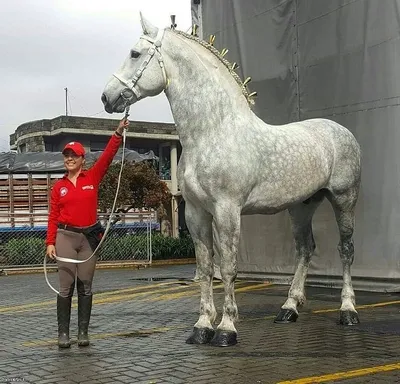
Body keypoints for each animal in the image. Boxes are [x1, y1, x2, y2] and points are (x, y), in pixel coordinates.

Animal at [101, 14, 362, 348]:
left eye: (134, 54)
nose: (107, 97)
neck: (213, 132)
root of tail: (341, 131)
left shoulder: (227, 211)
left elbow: (227, 267)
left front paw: (226, 328)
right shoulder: (196, 213)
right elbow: (204, 267)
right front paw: (202, 327)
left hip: (344, 199)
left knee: (346, 249)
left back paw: (348, 310)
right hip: (301, 206)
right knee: (305, 249)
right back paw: (288, 308)